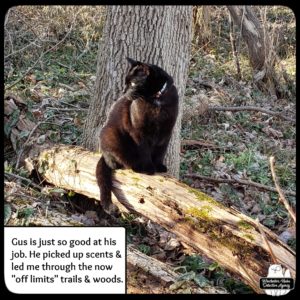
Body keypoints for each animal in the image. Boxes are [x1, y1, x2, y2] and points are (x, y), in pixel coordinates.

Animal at [95, 57, 178, 212]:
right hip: (110, 135)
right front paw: (149, 169)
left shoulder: (166, 132)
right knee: (117, 162)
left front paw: (159, 166)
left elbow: (161, 151)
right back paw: (136, 166)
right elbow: (144, 151)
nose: (123, 90)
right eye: (125, 82)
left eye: (133, 83)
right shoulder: (139, 132)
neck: (156, 100)